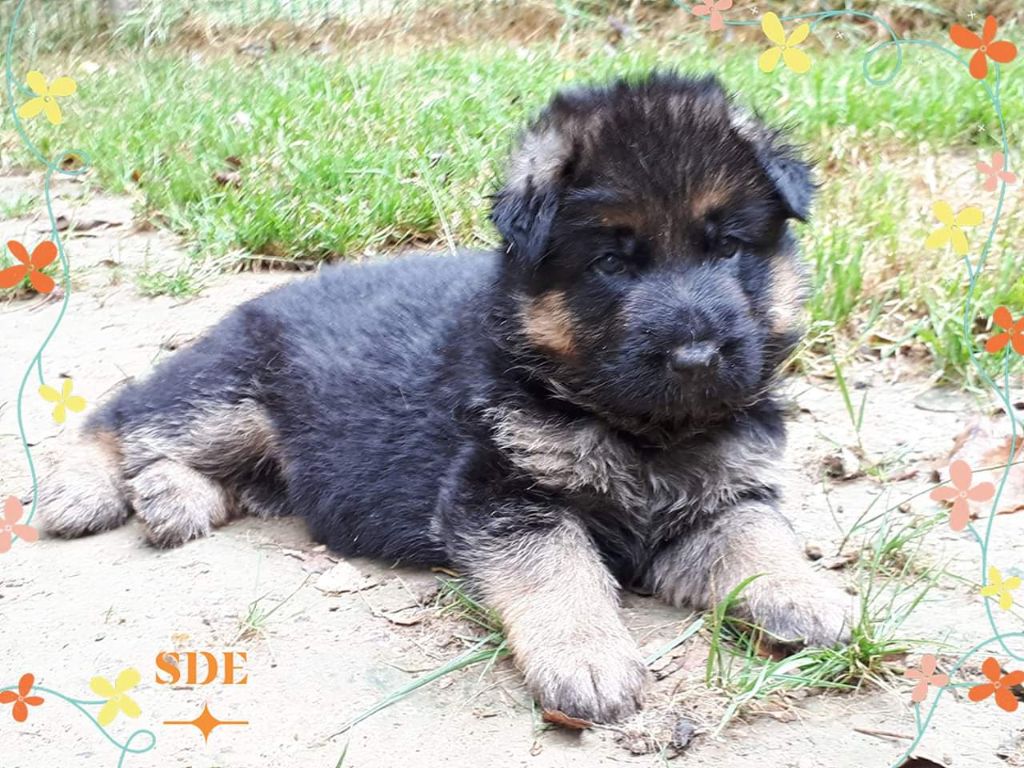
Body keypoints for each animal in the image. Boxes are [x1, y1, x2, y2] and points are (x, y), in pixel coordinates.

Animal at [44, 72, 851, 720]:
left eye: (728, 247)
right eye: (613, 262)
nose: (695, 355)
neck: (637, 425)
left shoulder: (721, 495)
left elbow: (758, 536)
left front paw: (805, 594)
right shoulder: (502, 493)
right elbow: (558, 569)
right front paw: (587, 657)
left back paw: (172, 498)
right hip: (231, 398)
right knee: (124, 415)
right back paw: (83, 488)